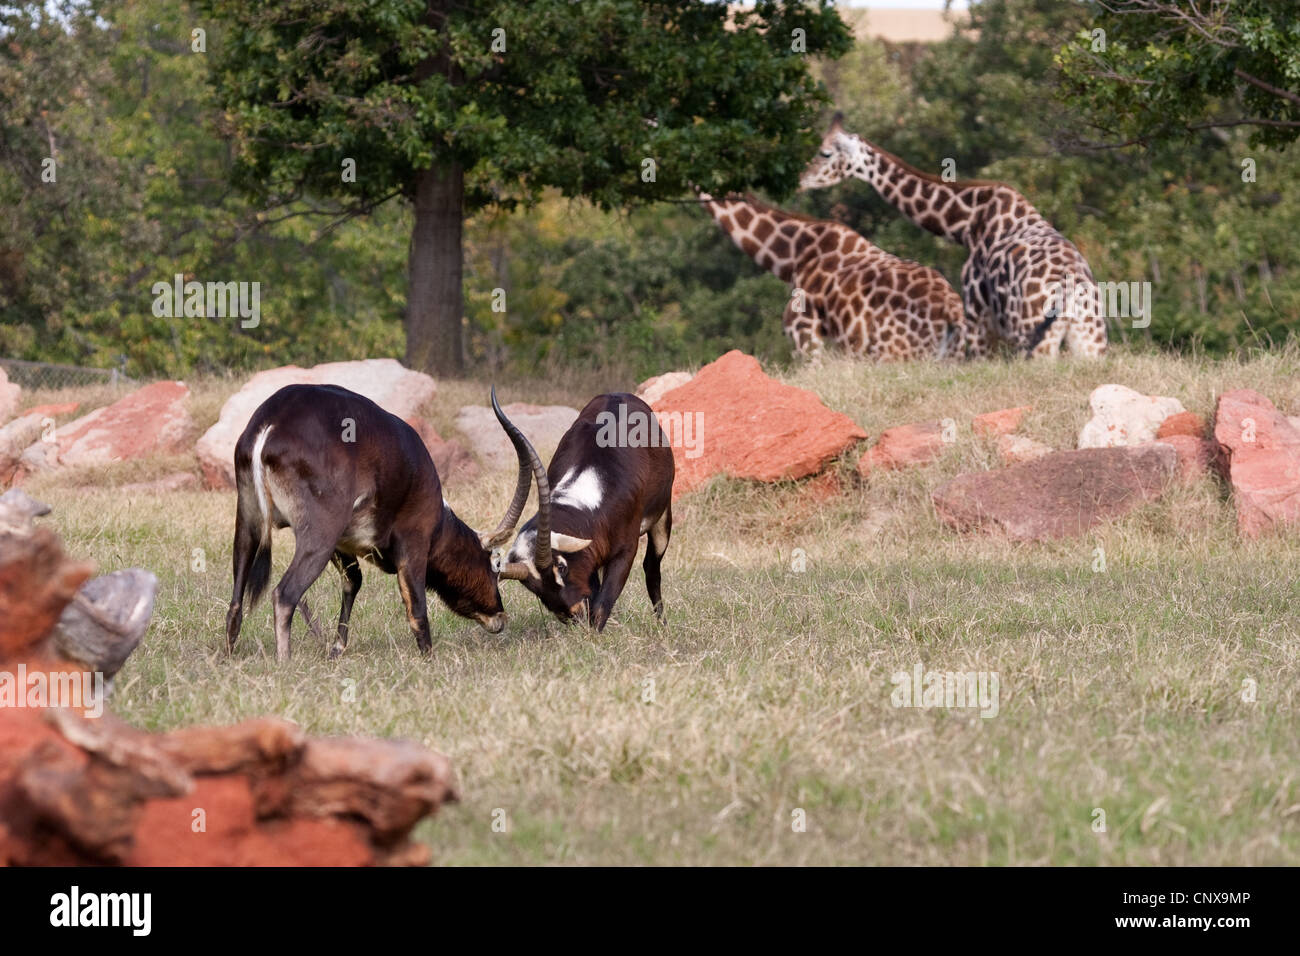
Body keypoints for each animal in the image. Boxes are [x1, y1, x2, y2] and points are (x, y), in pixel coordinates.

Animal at [226, 382, 540, 658]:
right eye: (494, 565)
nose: (499, 617)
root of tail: (270, 424)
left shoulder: (343, 546)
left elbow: (353, 581)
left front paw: (336, 650)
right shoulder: (413, 545)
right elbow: (417, 610)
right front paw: (430, 661)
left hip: (248, 525)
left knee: (236, 603)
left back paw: (228, 657)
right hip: (319, 537)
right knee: (284, 595)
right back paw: (285, 663)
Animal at [486, 385, 676, 632]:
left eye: (561, 567)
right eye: (534, 588)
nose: (573, 615)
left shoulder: (626, 551)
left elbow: (602, 604)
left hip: (662, 521)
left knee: (651, 568)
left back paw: (663, 624)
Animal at [795, 113, 1112, 361]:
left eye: (825, 152)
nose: (801, 180)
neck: (966, 224)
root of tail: (1074, 289)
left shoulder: (977, 316)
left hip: (1032, 336)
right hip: (1090, 342)